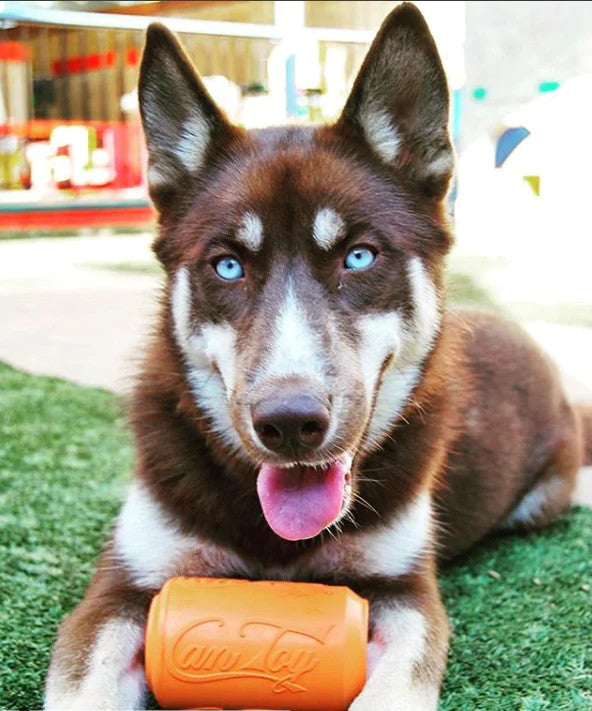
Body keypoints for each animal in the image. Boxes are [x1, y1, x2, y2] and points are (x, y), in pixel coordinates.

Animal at [44, 2, 588, 708]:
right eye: (226, 265)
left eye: (359, 256)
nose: (290, 423)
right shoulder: (122, 587)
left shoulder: (404, 594)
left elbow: (397, 683)